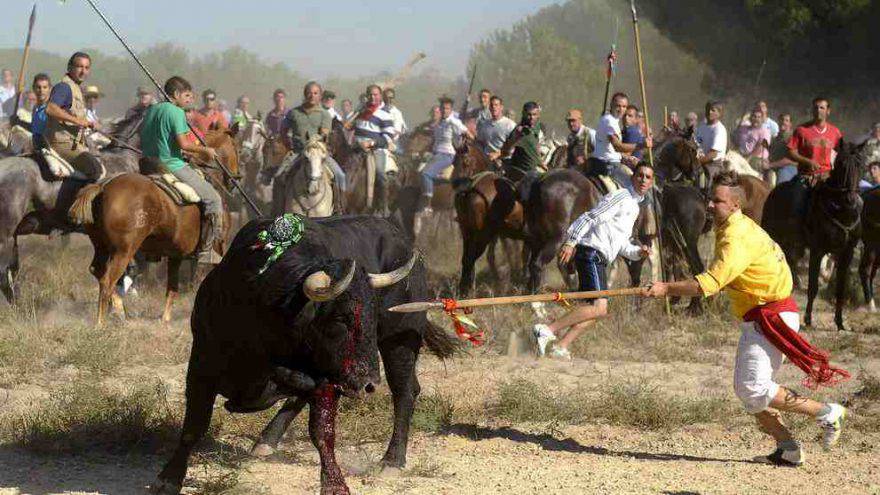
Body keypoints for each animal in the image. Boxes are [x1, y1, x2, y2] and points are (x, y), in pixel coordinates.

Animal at [68, 131, 239, 326]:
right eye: (236, 147)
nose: (236, 177)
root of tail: (103, 187)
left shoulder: (175, 255)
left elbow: (172, 287)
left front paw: (165, 319)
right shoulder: (213, 251)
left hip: (101, 246)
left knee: (97, 271)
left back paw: (118, 311)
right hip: (123, 251)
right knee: (108, 281)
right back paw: (101, 323)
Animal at [156, 216, 460, 495]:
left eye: (373, 318)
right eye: (341, 319)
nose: (369, 384)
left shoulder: (327, 379)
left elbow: (322, 432)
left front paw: (334, 482)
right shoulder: (201, 364)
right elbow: (194, 426)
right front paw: (169, 478)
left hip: (400, 343)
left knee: (405, 391)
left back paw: (392, 461)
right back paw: (267, 440)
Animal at [764, 142, 868, 330]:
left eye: (861, 165)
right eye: (841, 164)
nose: (850, 199)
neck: (841, 211)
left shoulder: (846, 253)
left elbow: (840, 289)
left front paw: (840, 322)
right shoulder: (817, 250)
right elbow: (813, 286)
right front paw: (808, 319)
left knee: (791, 263)